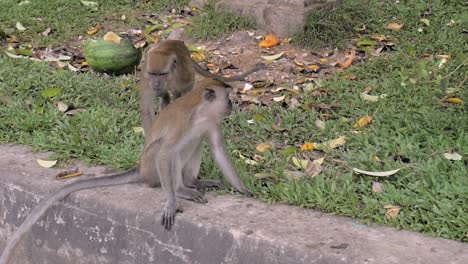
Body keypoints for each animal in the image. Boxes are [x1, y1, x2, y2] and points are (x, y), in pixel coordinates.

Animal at [0, 78, 250, 264]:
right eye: (227, 97)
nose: (232, 105)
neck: (200, 112)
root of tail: (140, 168)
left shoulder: (210, 122)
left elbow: (216, 149)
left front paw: (243, 189)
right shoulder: (183, 121)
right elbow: (165, 153)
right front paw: (171, 202)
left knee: (196, 142)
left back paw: (193, 182)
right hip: (150, 168)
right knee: (167, 151)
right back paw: (181, 189)